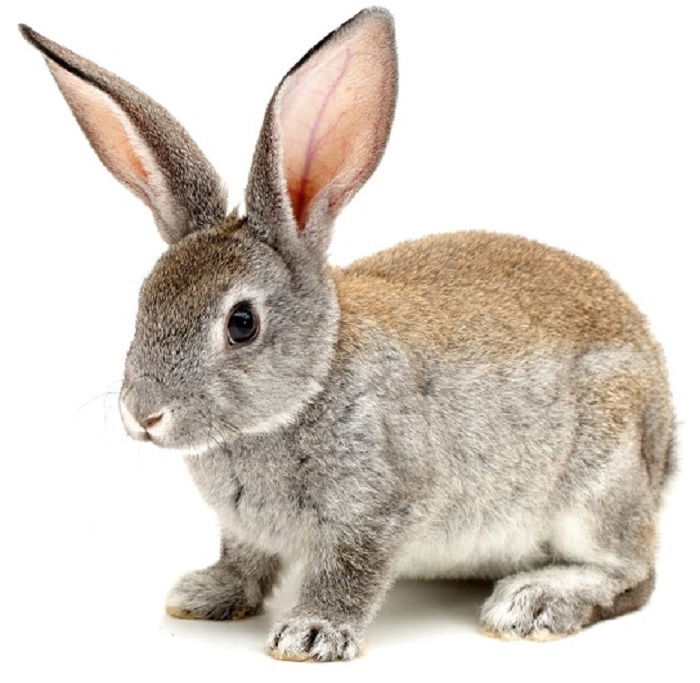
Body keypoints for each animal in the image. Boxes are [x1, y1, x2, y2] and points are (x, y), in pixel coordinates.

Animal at [24, 6, 676, 664]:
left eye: (241, 324)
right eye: (143, 302)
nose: (143, 415)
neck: (308, 387)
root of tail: (664, 433)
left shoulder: (382, 508)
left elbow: (350, 571)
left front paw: (311, 633)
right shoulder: (244, 530)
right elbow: (245, 560)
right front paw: (207, 594)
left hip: (599, 485)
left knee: (633, 575)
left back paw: (535, 601)